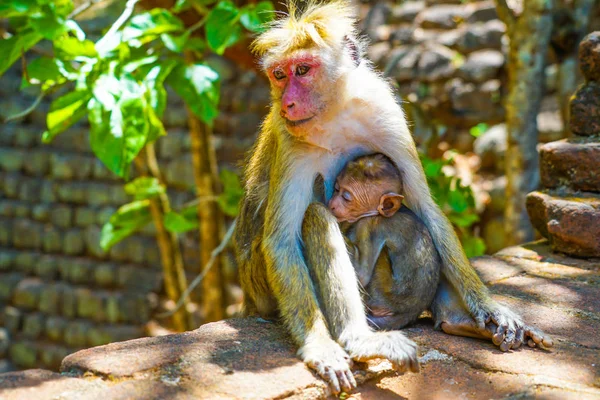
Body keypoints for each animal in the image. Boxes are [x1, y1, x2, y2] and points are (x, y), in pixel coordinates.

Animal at [328, 153, 440, 328]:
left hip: (381, 294)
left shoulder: (368, 225)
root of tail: (410, 314)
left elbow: (362, 273)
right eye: (336, 189)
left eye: (346, 198)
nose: (332, 204)